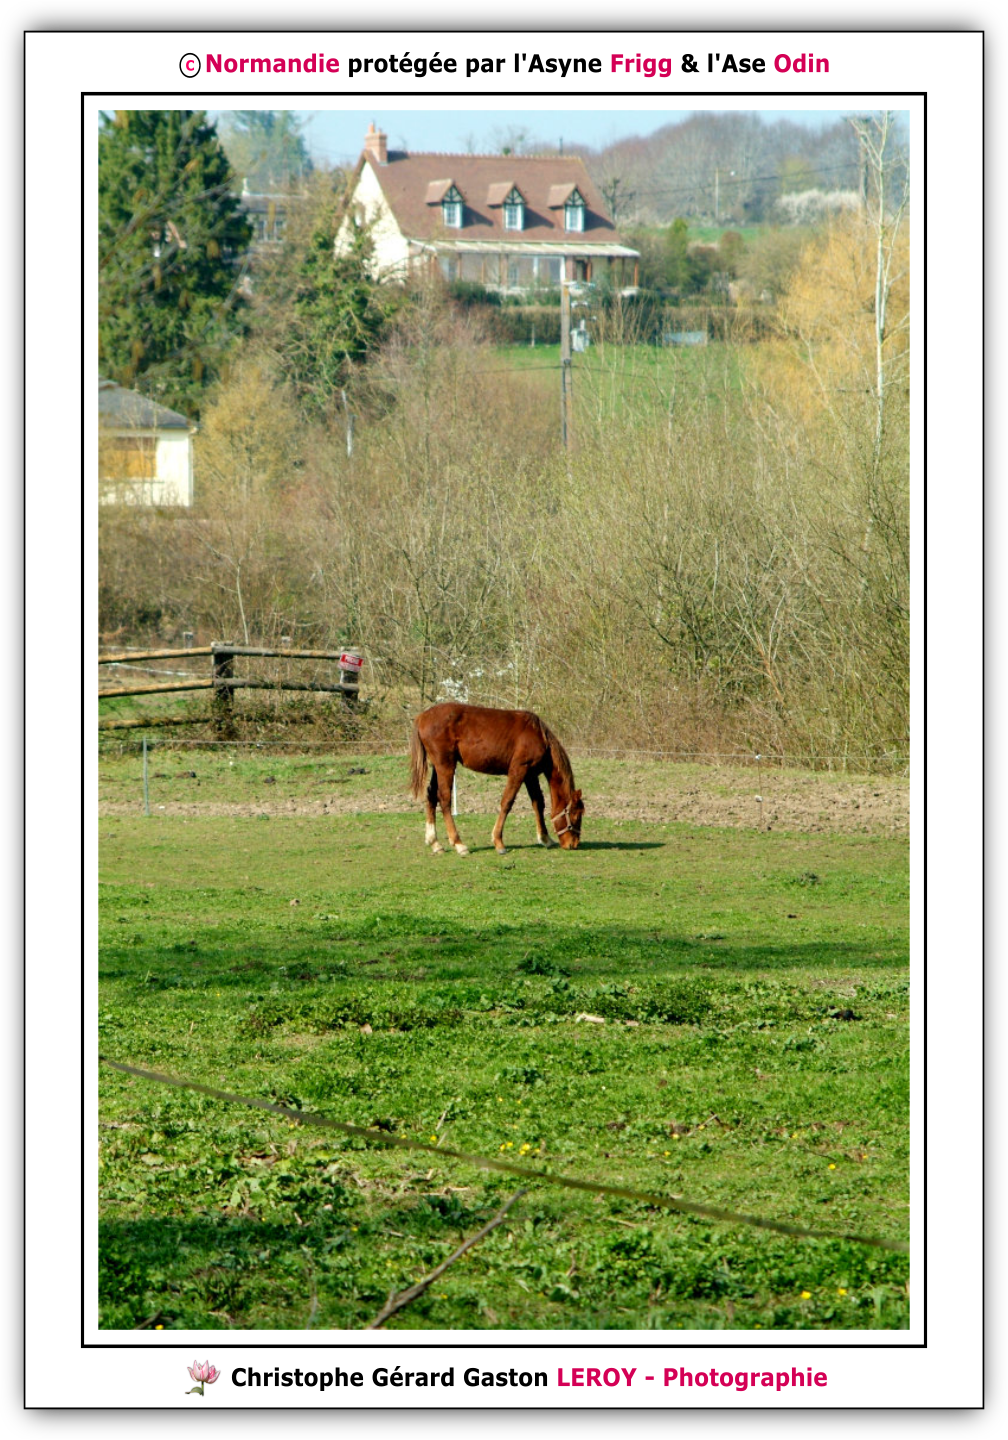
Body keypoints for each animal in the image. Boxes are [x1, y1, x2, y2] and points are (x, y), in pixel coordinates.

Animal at [409, 702, 584, 856]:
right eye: (576, 815)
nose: (573, 844)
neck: (539, 735)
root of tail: (422, 717)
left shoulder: (530, 775)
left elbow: (538, 803)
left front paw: (545, 838)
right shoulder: (519, 770)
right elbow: (507, 802)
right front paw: (498, 842)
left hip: (438, 768)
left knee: (431, 796)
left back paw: (435, 843)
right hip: (446, 765)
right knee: (444, 799)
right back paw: (459, 844)